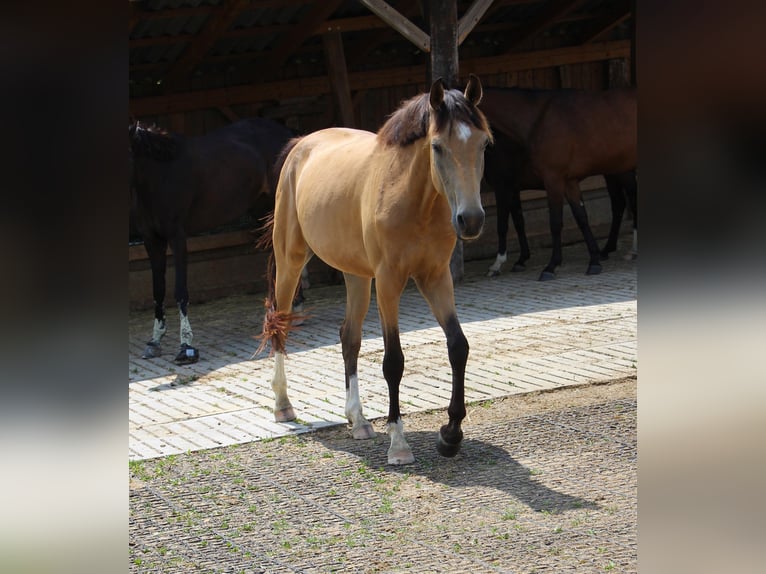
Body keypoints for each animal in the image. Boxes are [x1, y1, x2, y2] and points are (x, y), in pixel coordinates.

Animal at [129, 118, 294, 364]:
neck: (160, 176)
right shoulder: (152, 241)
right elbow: (158, 290)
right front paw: (154, 342)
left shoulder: (177, 237)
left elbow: (180, 290)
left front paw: (186, 347)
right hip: (262, 209)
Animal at [484, 86, 640, 282]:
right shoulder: (563, 182)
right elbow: (579, 218)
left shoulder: (518, 185)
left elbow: (545, 223)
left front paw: (548, 266)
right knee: (620, 203)